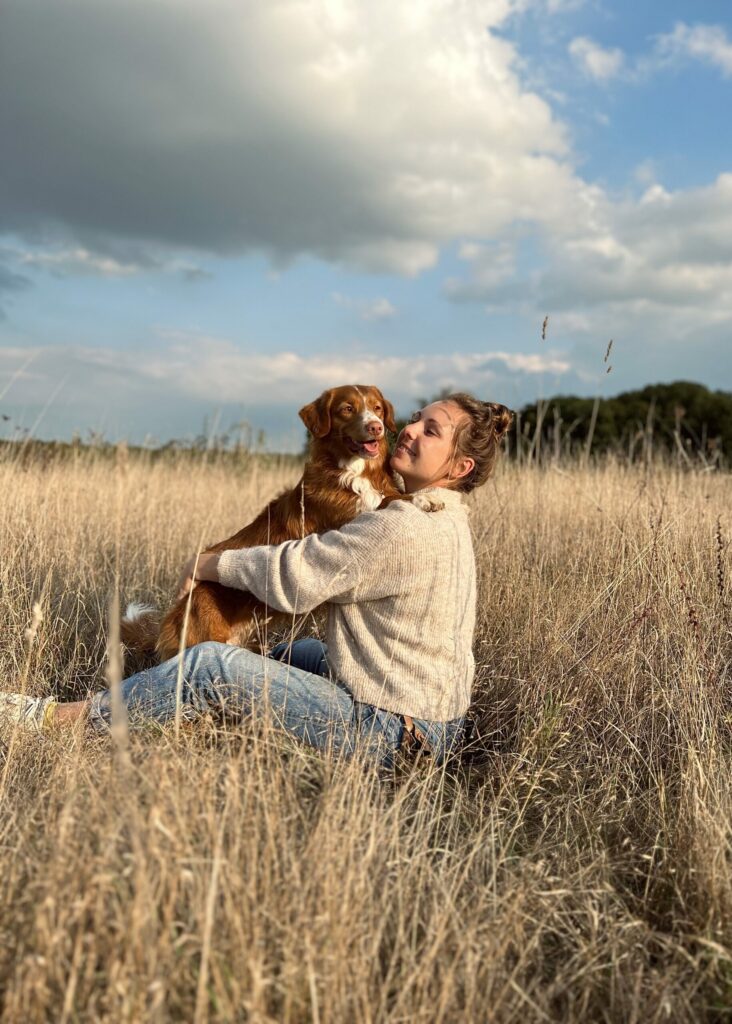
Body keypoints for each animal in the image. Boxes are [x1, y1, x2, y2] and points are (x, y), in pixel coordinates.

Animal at [122, 385, 403, 663]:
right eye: (347, 409)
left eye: (377, 408)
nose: (376, 427)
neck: (356, 472)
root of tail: (173, 614)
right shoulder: (342, 523)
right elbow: (388, 500)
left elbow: (390, 497)